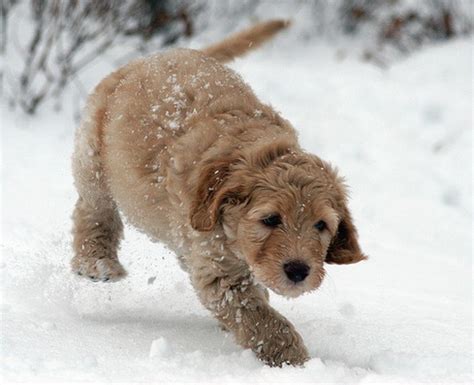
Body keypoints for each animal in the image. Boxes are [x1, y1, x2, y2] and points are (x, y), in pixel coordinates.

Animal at [70, 18, 366, 366]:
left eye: (322, 226)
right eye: (270, 220)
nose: (298, 271)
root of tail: (150, 58)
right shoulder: (217, 267)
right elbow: (259, 318)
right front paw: (294, 361)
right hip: (93, 156)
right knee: (93, 210)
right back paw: (96, 260)